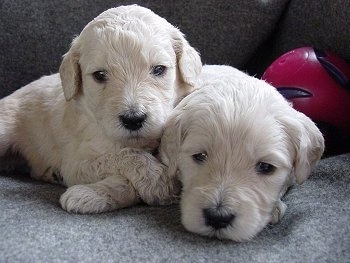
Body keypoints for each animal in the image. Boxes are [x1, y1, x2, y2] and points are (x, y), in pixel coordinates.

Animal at [0, 5, 201, 213]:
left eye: (159, 69)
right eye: (100, 75)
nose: (133, 119)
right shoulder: (77, 162)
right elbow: (125, 156)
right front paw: (159, 182)